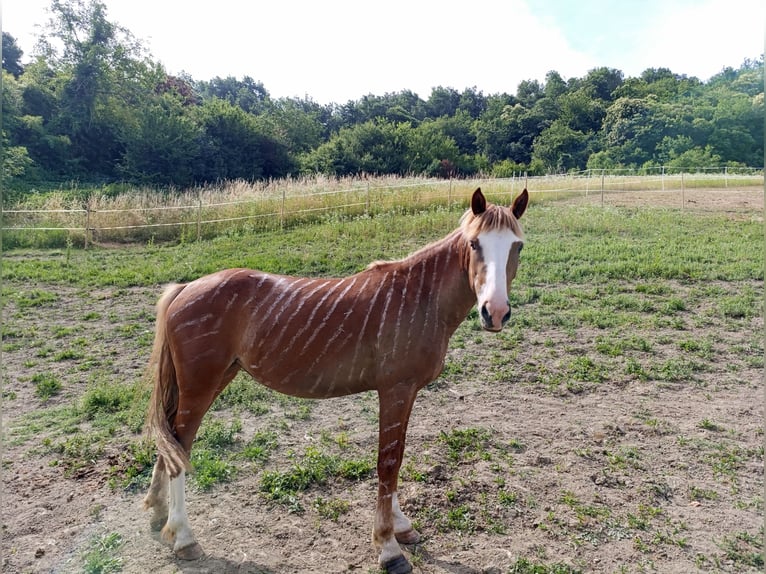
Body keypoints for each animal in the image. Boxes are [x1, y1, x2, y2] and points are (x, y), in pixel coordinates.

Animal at [143, 187, 529, 573]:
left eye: (518, 246)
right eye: (474, 243)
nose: (495, 312)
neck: (420, 298)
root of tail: (185, 287)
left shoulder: (404, 393)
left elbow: (396, 455)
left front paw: (401, 526)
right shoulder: (396, 390)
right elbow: (389, 462)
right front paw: (388, 546)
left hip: (214, 379)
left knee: (171, 443)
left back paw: (158, 514)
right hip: (200, 386)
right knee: (180, 446)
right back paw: (183, 537)